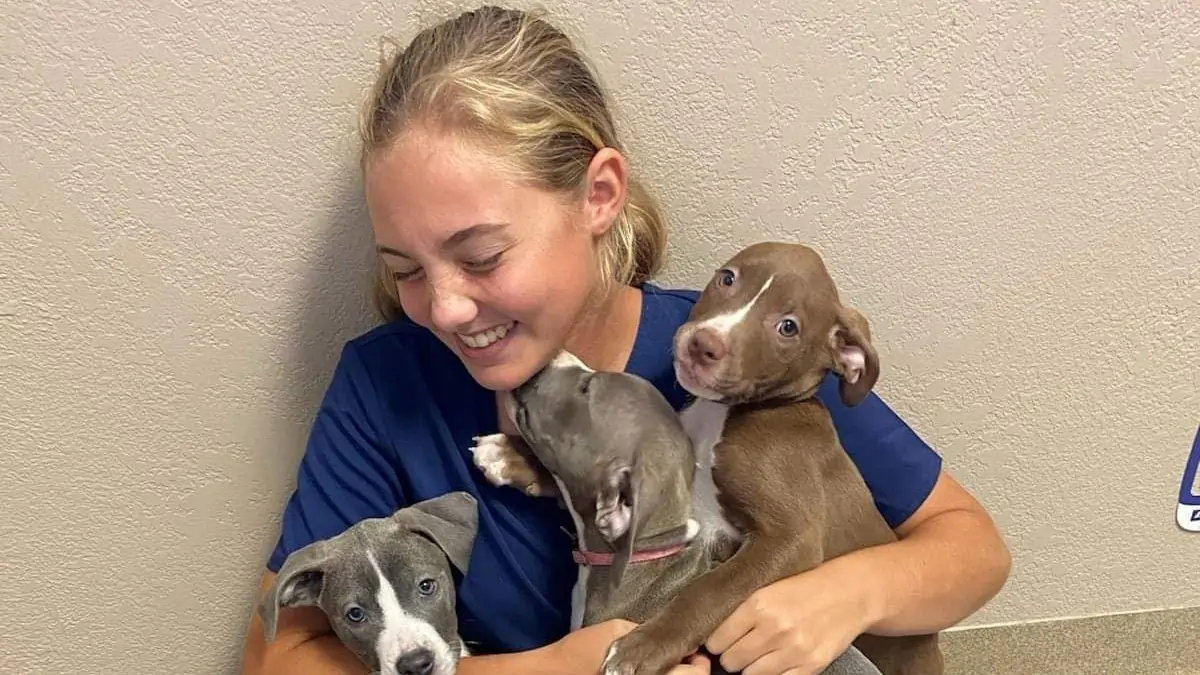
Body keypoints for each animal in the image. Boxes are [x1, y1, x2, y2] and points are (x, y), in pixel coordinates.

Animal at [604, 241, 940, 672]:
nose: (703, 344)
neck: (726, 415)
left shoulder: (792, 538)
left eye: (788, 327)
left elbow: (710, 589)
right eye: (727, 278)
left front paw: (644, 646)